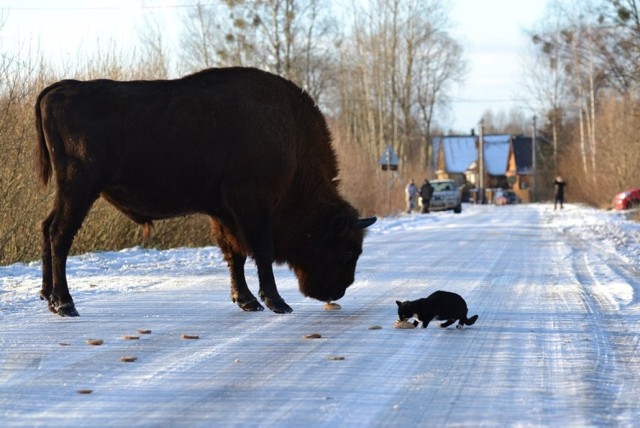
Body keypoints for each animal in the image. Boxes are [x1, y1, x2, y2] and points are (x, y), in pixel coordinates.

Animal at [35, 66, 376, 314]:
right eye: (348, 249)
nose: (338, 291)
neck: (289, 136)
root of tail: (59, 89)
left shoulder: (224, 212)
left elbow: (235, 254)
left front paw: (247, 301)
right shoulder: (253, 207)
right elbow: (259, 251)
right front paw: (277, 302)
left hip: (68, 192)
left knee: (46, 227)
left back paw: (47, 297)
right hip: (78, 189)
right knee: (60, 235)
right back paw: (65, 304)